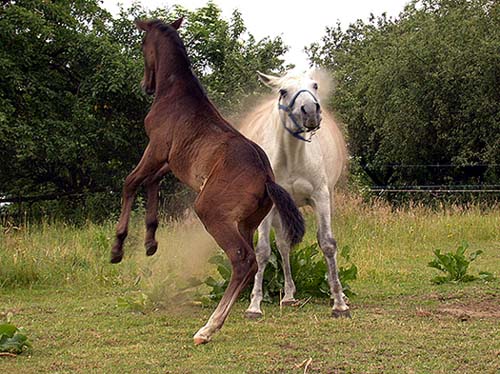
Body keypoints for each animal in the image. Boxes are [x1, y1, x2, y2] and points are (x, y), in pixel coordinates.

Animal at [110, 17, 304, 344]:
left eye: (142, 44)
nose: (146, 85)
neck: (175, 93)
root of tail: (266, 178)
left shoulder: (156, 147)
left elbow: (131, 182)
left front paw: (118, 247)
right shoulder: (169, 161)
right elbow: (150, 184)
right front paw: (150, 242)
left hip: (211, 212)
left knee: (242, 259)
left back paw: (207, 328)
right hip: (245, 222)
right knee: (251, 261)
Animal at [237, 70, 348, 318]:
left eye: (315, 85)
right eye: (283, 90)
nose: (311, 111)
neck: (292, 156)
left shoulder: (321, 198)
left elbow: (328, 244)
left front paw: (339, 303)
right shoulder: (270, 205)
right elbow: (263, 251)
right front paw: (254, 305)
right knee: (283, 244)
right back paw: (288, 295)